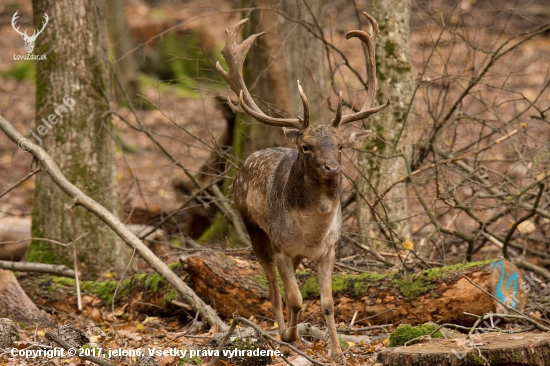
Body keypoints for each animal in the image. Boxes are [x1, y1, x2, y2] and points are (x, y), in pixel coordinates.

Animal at [216, 12, 388, 360]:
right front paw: (290, 336)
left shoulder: (329, 249)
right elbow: (294, 298)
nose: (332, 168)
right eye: (306, 147)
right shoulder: (282, 246)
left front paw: (336, 352)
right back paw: (280, 332)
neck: (312, 233)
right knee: (272, 287)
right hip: (254, 228)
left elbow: (328, 303)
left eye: (340, 146)